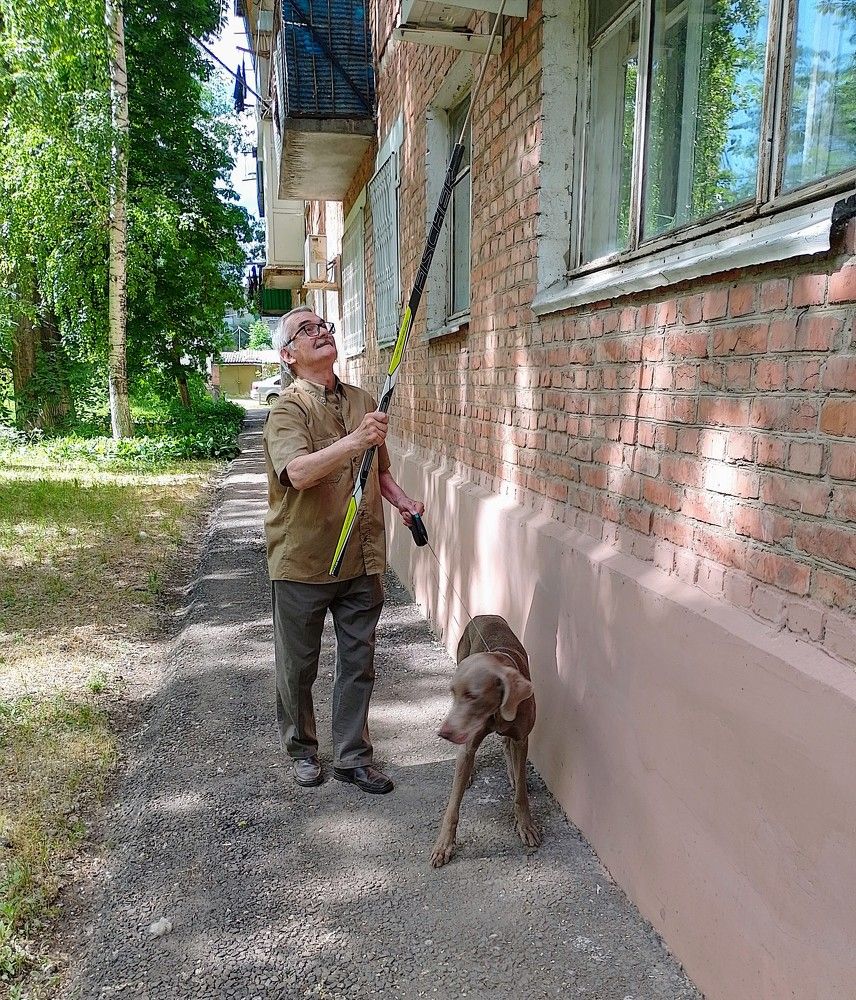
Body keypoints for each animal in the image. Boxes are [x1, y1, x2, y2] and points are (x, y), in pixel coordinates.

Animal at [431, 614, 541, 868]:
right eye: (454, 693)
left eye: (473, 696)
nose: (444, 733)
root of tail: (484, 615)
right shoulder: (469, 741)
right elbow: (453, 806)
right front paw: (444, 845)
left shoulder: (522, 738)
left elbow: (521, 793)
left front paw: (526, 825)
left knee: (508, 747)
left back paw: (511, 772)